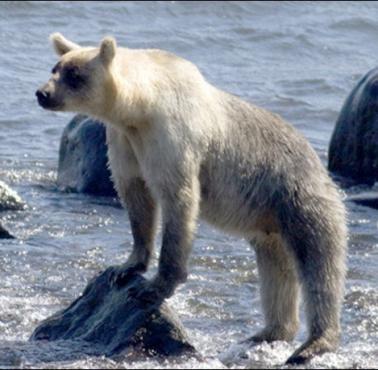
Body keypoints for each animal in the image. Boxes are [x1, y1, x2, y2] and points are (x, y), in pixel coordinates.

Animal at [37, 34, 346, 364]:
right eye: (56, 67)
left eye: (74, 75)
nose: (42, 93)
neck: (141, 106)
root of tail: (319, 164)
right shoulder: (124, 140)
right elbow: (136, 197)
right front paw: (125, 267)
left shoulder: (171, 138)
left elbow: (178, 200)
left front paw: (154, 287)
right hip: (269, 225)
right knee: (277, 271)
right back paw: (269, 331)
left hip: (300, 198)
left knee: (319, 266)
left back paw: (314, 343)